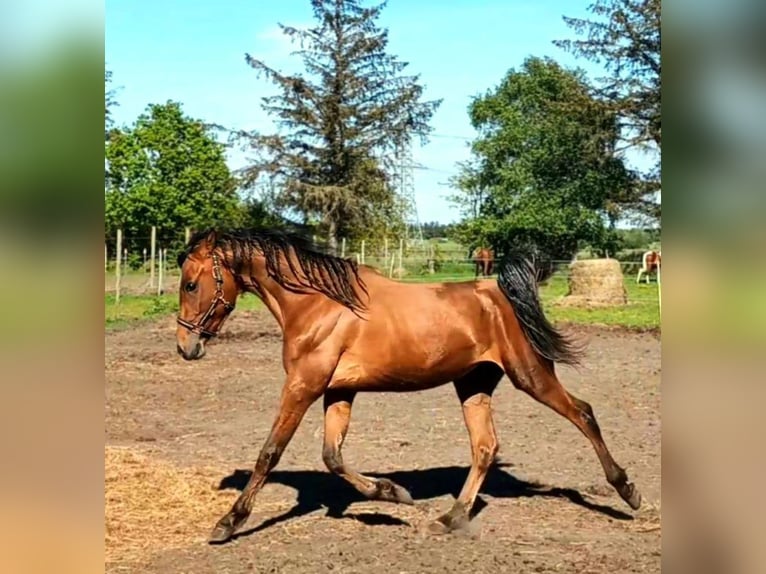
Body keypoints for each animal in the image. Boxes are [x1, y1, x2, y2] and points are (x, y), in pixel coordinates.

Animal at [176, 228, 641, 544]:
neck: (318, 305)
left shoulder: (303, 386)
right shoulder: (337, 390)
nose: (186, 346)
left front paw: (227, 523)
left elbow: (270, 452)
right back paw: (449, 518)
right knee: (485, 447)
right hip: (473, 384)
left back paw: (627, 491)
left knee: (582, 413)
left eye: (191, 283)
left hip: (530, 375)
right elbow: (332, 455)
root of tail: (501, 293)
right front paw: (392, 494)